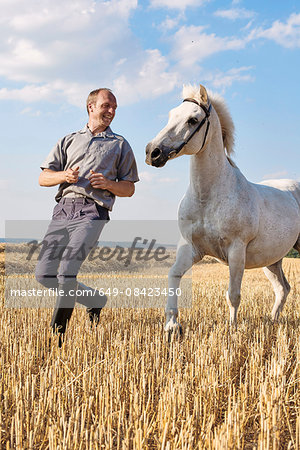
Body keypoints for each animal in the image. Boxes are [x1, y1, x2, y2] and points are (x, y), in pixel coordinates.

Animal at [146, 82, 300, 332]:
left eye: (193, 119)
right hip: (272, 260)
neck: (207, 199)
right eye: (170, 115)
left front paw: (232, 329)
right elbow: (174, 276)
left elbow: (233, 294)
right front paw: (171, 326)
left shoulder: (236, 251)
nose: (152, 152)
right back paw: (272, 321)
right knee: (282, 288)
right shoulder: (191, 248)